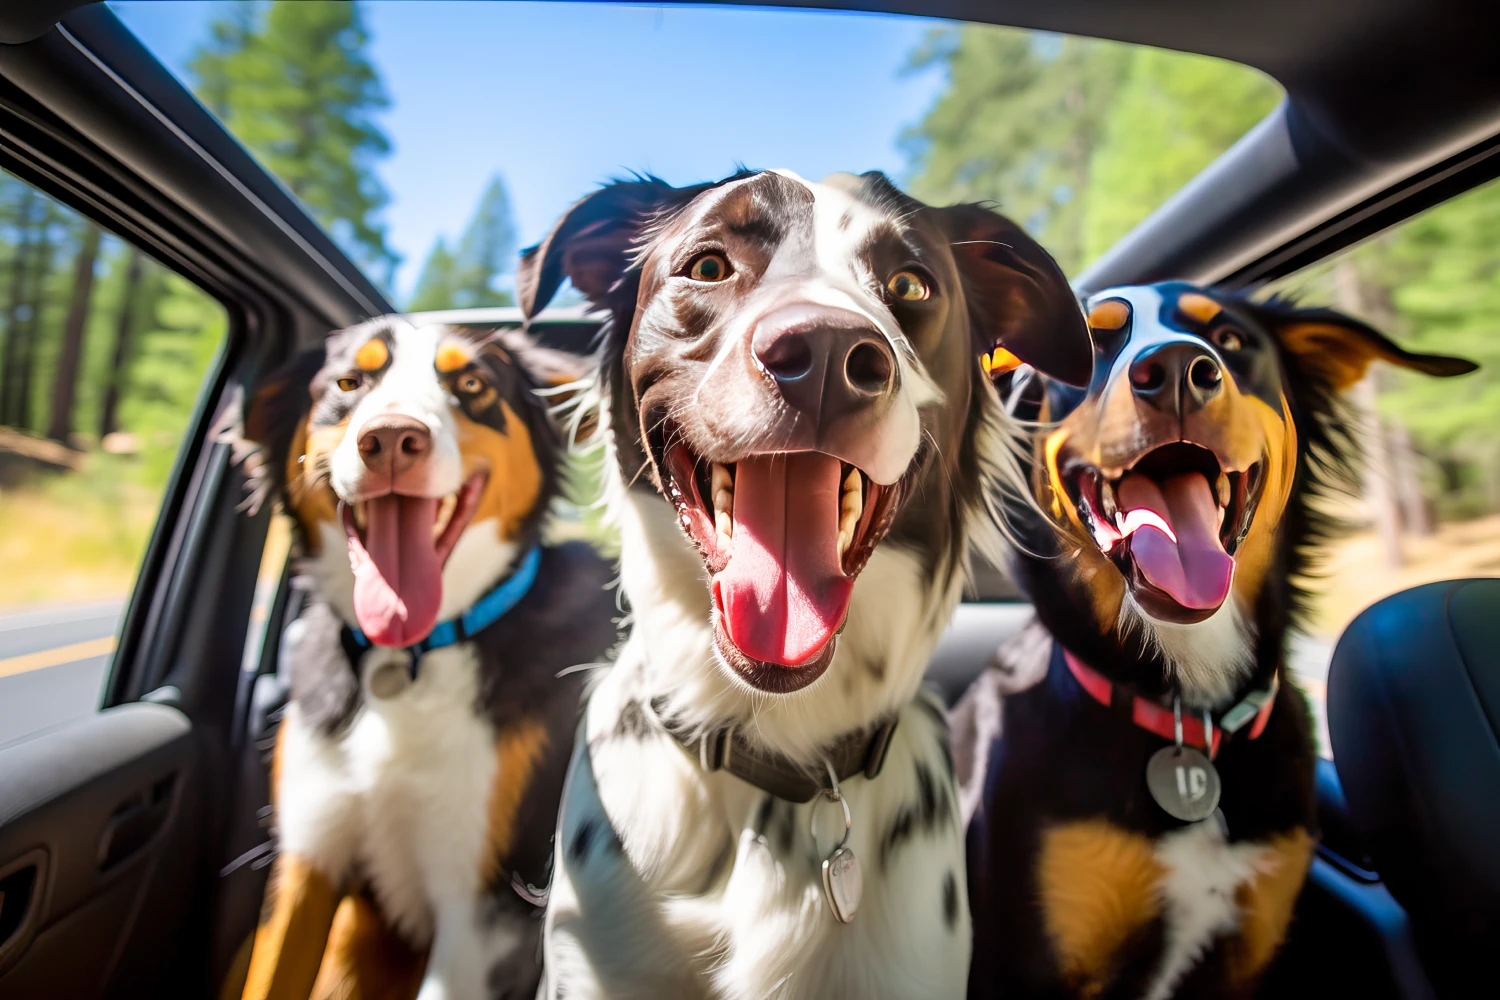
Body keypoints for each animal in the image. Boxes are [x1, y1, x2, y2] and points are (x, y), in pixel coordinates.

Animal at [232, 316, 615, 1000]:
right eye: (348, 382)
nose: (390, 439)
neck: (410, 654)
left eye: (472, 383)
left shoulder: (485, 911)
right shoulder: (308, 860)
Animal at [954, 281, 1470, 1000]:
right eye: (1093, 341)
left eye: (1229, 339)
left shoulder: (1245, 945)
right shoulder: (1029, 963)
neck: (1186, 718)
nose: (1174, 369)